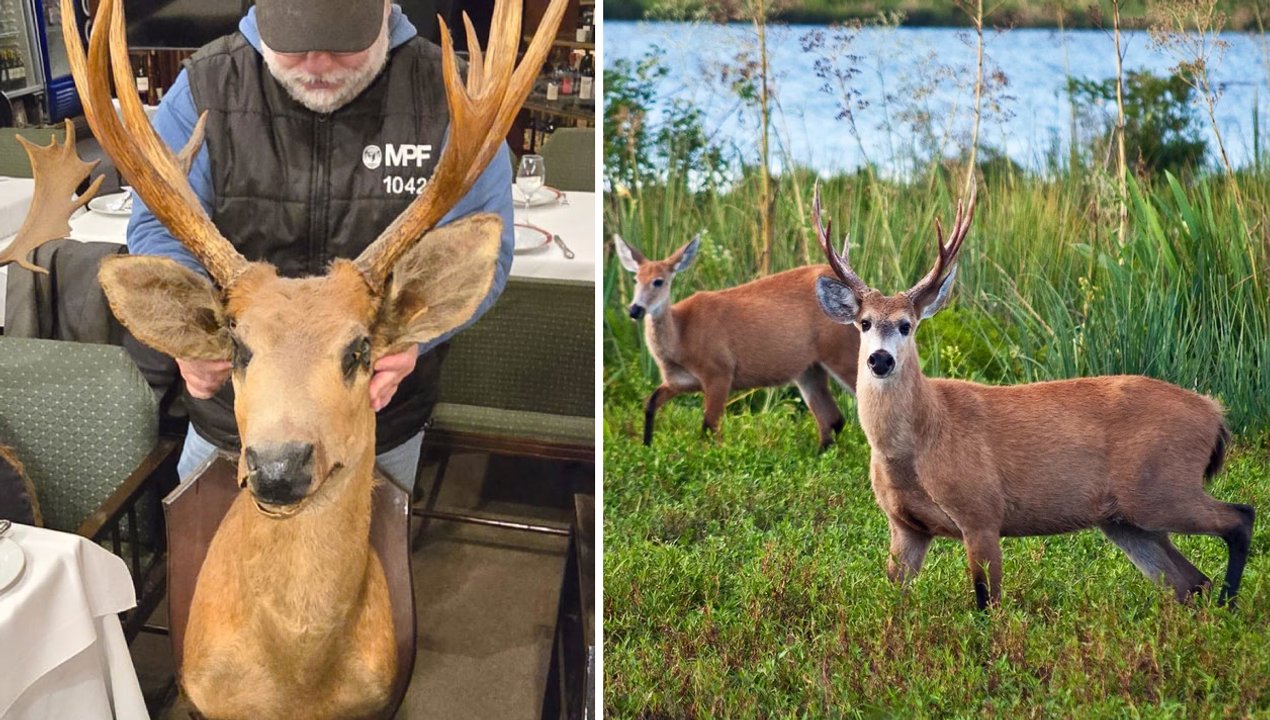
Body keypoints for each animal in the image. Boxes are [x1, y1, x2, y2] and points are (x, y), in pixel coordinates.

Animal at [615, 234, 860, 450]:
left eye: (658, 281)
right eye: (636, 279)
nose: (635, 310)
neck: (681, 338)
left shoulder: (719, 372)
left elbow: (709, 426)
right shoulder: (679, 382)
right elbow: (650, 403)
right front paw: (646, 446)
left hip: (842, 353)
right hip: (808, 369)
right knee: (833, 419)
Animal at [811, 184, 1254, 611]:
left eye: (907, 325)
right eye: (864, 322)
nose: (880, 359)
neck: (921, 439)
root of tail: (1215, 413)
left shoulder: (981, 511)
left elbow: (987, 603)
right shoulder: (905, 528)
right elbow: (893, 598)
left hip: (1163, 487)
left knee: (1239, 519)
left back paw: (1230, 607)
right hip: (1127, 519)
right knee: (1191, 581)